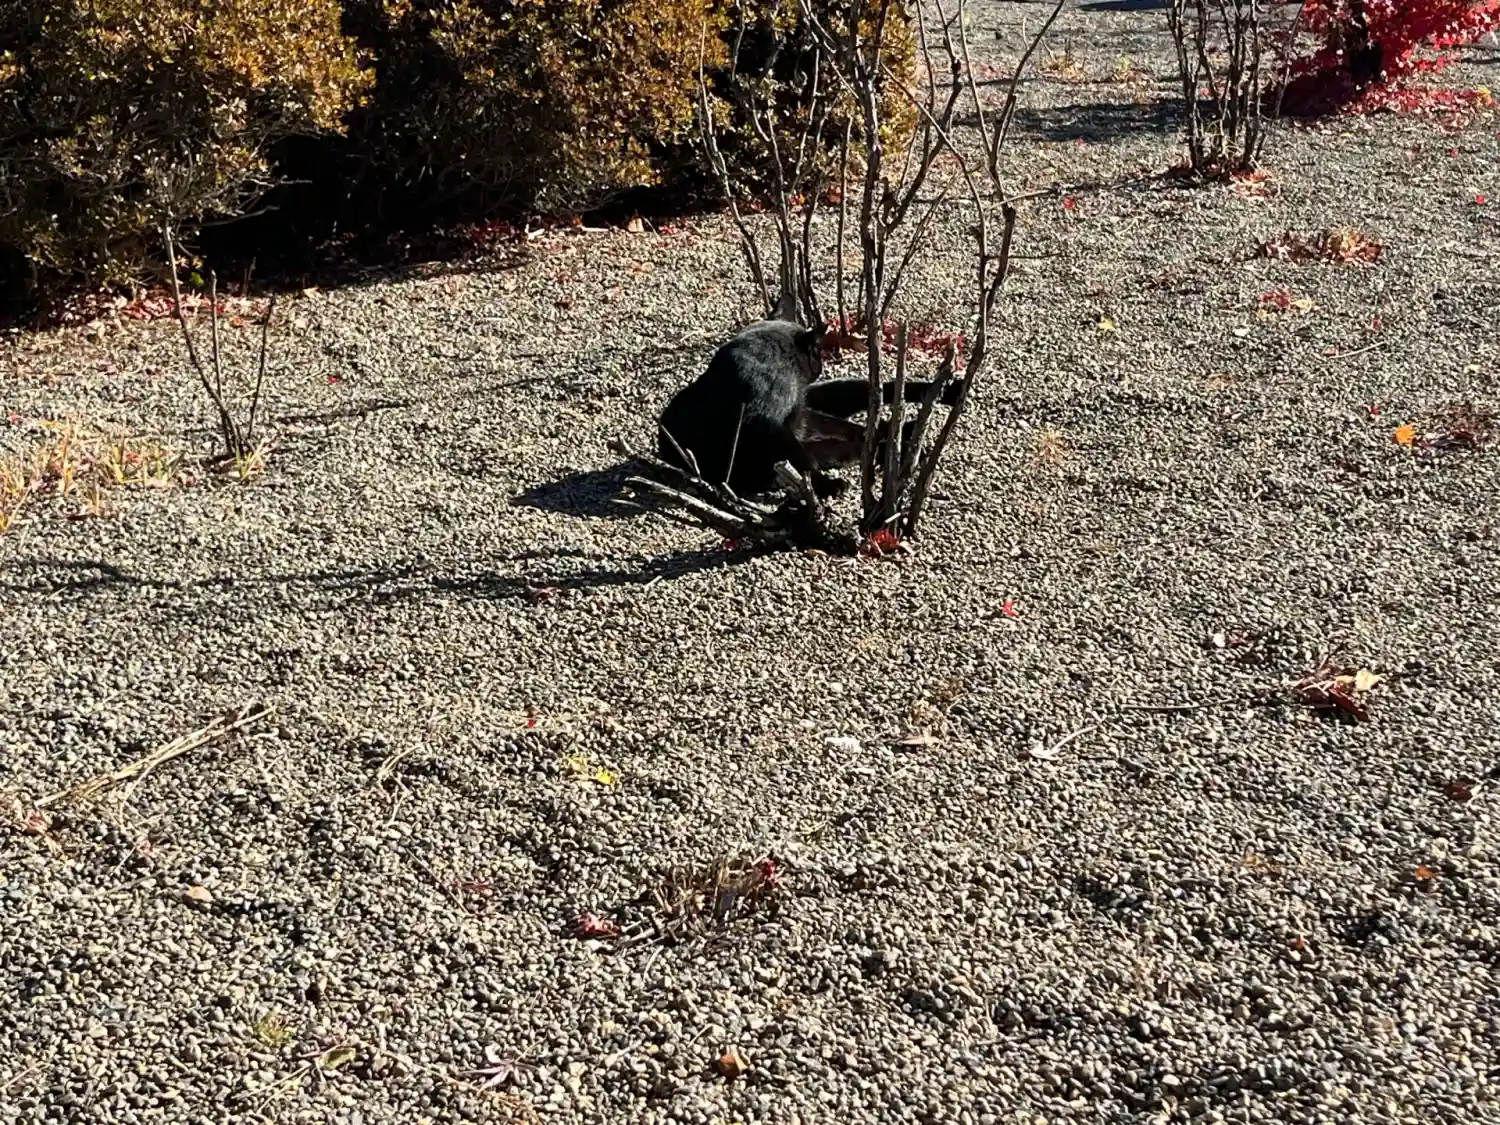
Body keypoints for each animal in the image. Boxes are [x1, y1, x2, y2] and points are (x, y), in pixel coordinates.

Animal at [656, 318, 960, 499]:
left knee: (871, 401)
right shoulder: (770, 424)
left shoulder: (800, 411)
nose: (821, 365)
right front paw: (825, 484)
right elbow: (801, 460)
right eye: (816, 352)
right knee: (854, 442)